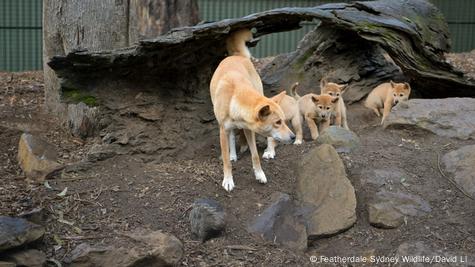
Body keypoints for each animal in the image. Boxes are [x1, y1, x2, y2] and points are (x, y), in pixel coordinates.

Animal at [210, 29, 296, 193]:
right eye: (278, 122)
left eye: (283, 121)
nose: (293, 137)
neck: (235, 97)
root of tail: (237, 55)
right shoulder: (223, 130)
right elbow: (226, 159)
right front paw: (228, 180)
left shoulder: (249, 129)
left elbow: (255, 155)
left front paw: (260, 174)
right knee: (232, 137)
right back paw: (233, 154)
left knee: (269, 139)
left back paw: (269, 151)